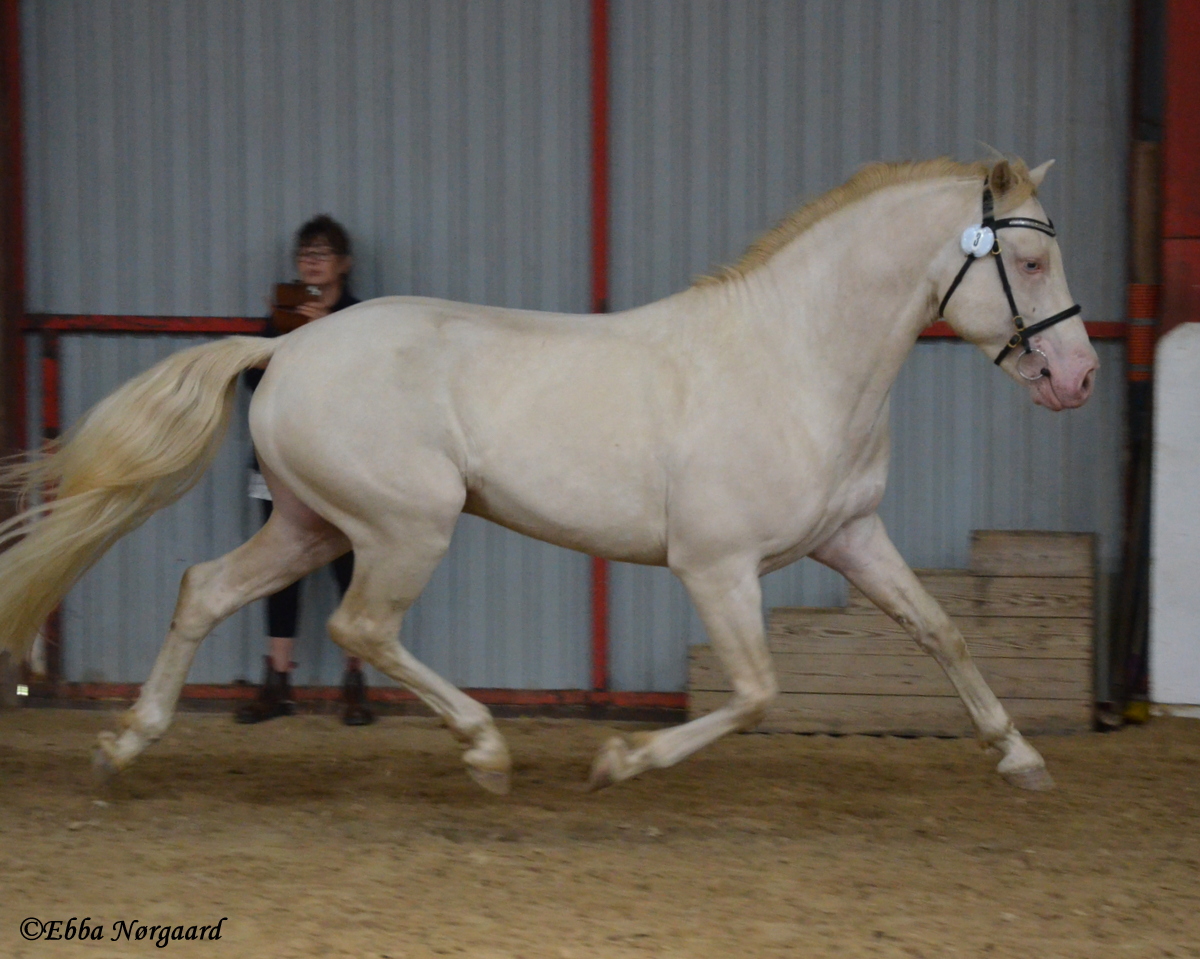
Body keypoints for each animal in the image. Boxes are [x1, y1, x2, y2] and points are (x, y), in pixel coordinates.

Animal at [0, 157, 1098, 795]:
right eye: (1029, 266)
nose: (1078, 376)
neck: (797, 358)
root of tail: (287, 345)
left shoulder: (852, 535)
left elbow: (942, 629)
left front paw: (1023, 756)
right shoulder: (716, 566)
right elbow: (755, 690)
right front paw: (620, 760)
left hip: (311, 523)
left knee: (205, 590)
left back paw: (122, 746)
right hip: (404, 526)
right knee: (361, 627)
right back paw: (486, 748)